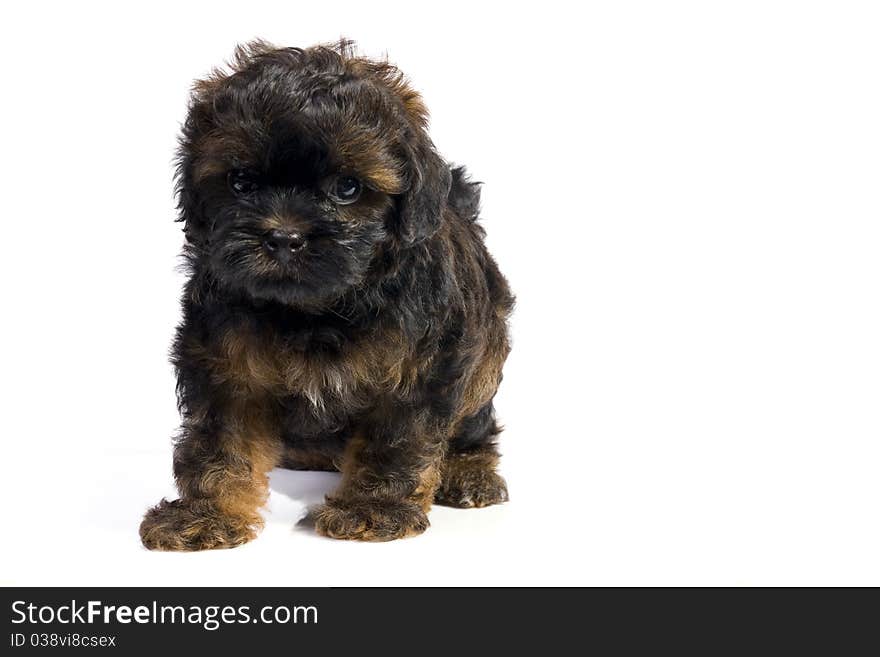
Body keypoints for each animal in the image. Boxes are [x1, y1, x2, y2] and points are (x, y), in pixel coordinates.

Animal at [140, 39, 516, 548]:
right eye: (241, 182)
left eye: (347, 188)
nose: (283, 237)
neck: (315, 310)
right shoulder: (223, 364)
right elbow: (221, 441)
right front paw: (206, 512)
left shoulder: (419, 370)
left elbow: (395, 439)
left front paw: (373, 508)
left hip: (483, 364)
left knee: (476, 423)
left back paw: (469, 471)